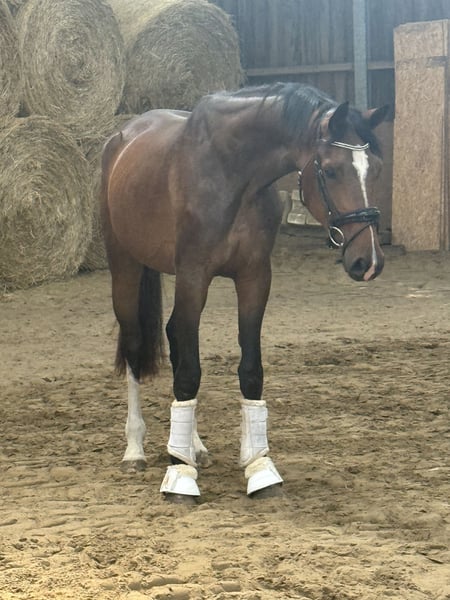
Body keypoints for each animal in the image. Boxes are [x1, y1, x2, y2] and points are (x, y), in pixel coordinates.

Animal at [100, 82, 389, 503]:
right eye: (332, 170)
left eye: (376, 170)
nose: (368, 262)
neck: (233, 174)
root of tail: (121, 138)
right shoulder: (194, 277)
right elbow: (189, 372)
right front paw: (179, 475)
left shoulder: (254, 278)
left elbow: (248, 370)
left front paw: (258, 466)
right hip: (126, 267)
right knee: (137, 347)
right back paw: (136, 448)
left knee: (174, 338)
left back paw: (192, 446)